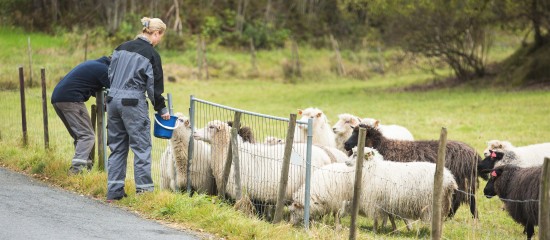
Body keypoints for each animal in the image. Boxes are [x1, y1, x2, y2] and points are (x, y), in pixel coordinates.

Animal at [292, 146, 460, 232]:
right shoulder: (385, 200)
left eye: (356, 155)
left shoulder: (373, 199)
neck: (371, 168)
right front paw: (393, 229)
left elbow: (375, 217)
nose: (346, 163)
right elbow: (389, 216)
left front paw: (375, 230)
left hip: (434, 204)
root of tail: (450, 179)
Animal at [348, 124, 480, 218]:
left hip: (461, 182)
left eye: (358, 135)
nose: (346, 144)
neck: (383, 147)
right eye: (352, 133)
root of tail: (472, 153)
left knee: (464, 200)